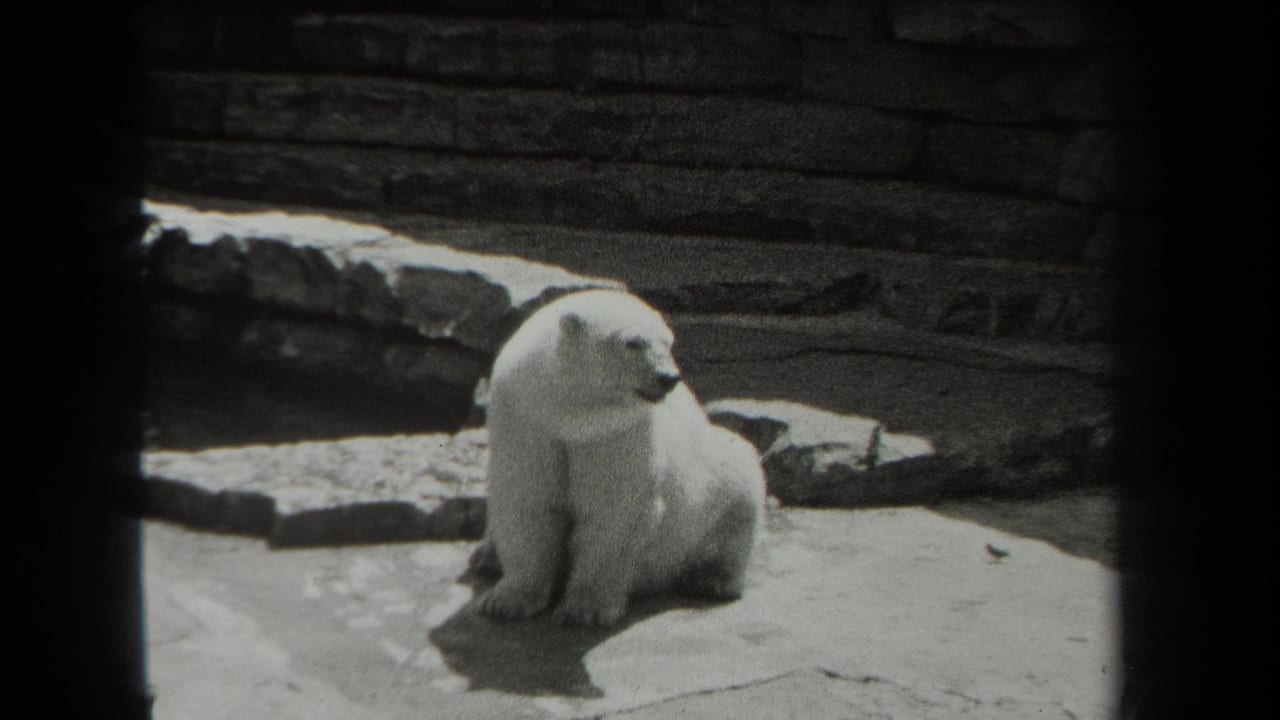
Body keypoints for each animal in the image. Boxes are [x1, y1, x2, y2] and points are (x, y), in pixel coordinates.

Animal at [470, 289, 766, 627]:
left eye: (668, 342)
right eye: (633, 343)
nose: (668, 377)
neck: (567, 412)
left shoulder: (616, 434)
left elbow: (614, 509)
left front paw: (586, 608)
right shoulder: (527, 420)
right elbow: (527, 499)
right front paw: (505, 601)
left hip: (711, 482)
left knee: (739, 485)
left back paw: (713, 579)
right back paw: (486, 557)